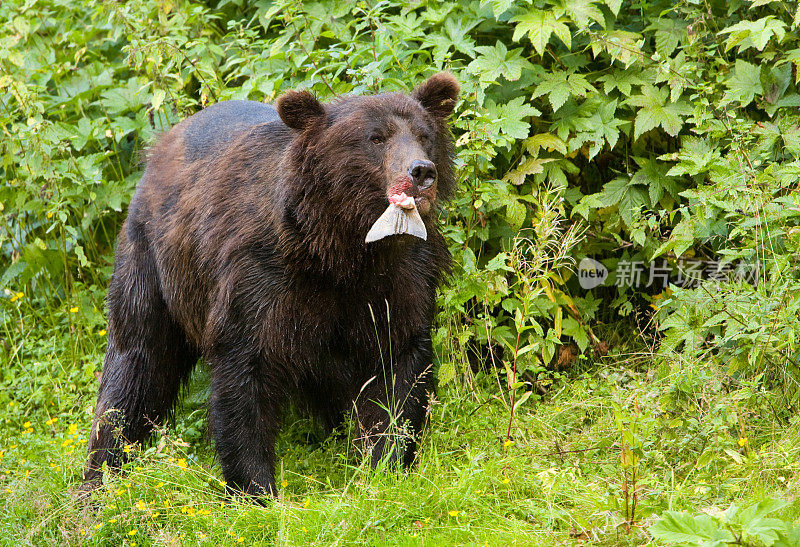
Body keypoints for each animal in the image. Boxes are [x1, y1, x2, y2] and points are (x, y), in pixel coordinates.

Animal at [83, 71, 460, 496]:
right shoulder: (258, 279)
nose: (420, 171)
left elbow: (400, 368)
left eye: (424, 134)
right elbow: (245, 371)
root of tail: (161, 144)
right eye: (375, 137)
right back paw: (99, 478)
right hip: (154, 263)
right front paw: (257, 488)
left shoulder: (399, 278)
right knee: (136, 362)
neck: (340, 248)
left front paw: (385, 464)